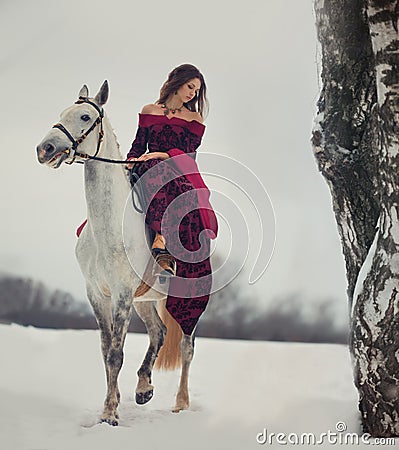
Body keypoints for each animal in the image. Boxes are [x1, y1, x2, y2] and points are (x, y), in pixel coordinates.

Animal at [36, 81, 196, 426]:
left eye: (85, 116)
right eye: (62, 113)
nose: (45, 149)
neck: (108, 225)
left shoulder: (122, 295)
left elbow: (115, 354)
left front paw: (110, 413)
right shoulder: (97, 293)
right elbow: (105, 348)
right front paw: (116, 402)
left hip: (187, 301)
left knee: (187, 346)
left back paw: (181, 403)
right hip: (147, 300)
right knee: (159, 332)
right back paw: (144, 388)